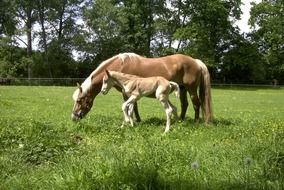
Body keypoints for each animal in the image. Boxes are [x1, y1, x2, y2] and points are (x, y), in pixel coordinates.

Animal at [71, 52, 213, 122]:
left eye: (79, 100)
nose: (74, 117)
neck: (120, 66)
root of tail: (196, 61)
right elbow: (134, 107)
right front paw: (137, 120)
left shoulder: (126, 93)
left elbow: (130, 107)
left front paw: (133, 120)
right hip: (182, 89)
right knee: (185, 104)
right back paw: (181, 120)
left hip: (191, 89)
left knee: (196, 104)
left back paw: (196, 121)